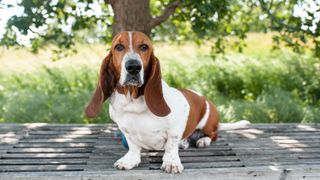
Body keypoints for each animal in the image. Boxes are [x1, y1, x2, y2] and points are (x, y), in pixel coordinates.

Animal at [84, 31, 249, 173]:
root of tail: (204, 98)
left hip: (207, 123)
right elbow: (133, 147)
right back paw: (185, 142)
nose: (133, 67)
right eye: (118, 47)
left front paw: (171, 163)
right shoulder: (127, 132)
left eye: (144, 47)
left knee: (214, 134)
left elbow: (170, 147)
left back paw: (203, 141)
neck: (133, 100)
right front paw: (130, 160)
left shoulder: (174, 130)